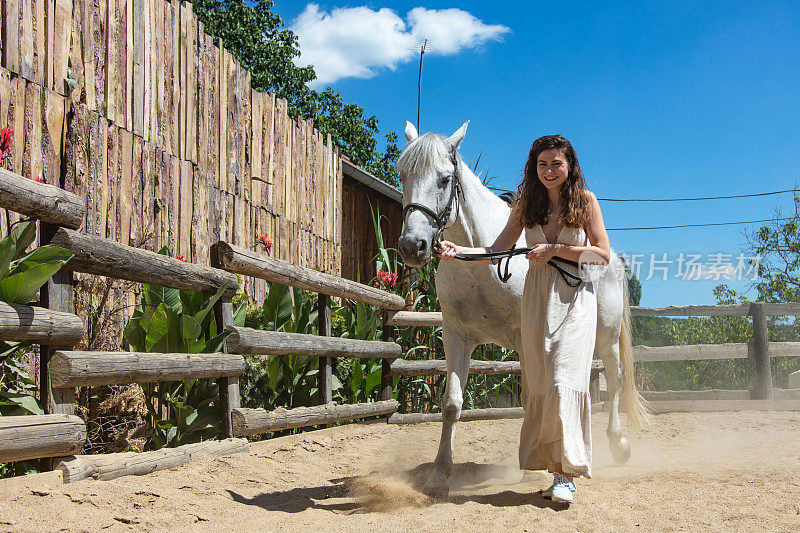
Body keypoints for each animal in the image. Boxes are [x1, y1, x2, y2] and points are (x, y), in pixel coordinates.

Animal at [396, 119, 648, 494]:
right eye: (402, 175)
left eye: (444, 179)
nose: (413, 246)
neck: (483, 264)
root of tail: (613, 260)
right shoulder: (456, 337)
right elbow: (451, 404)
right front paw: (440, 471)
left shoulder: (523, 338)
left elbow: (531, 396)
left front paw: (533, 469)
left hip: (606, 336)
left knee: (615, 379)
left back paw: (617, 444)